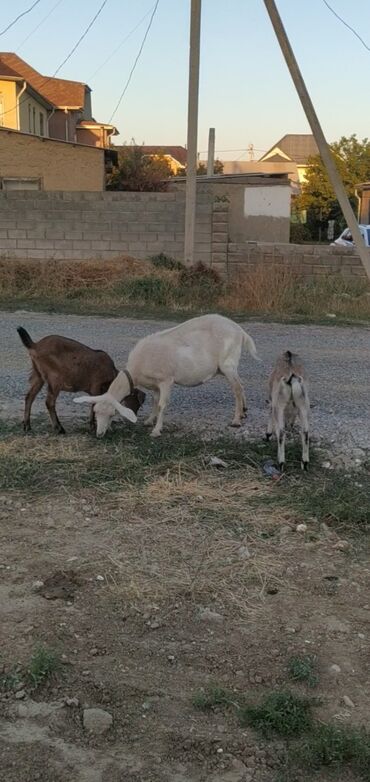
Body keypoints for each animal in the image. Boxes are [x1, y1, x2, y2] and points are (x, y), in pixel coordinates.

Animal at [17, 326, 145, 434]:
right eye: (137, 401)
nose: (134, 418)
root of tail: (35, 345)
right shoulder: (96, 386)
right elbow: (94, 405)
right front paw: (93, 427)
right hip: (55, 378)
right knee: (49, 402)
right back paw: (59, 428)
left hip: (38, 375)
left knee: (29, 397)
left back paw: (27, 426)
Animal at [73, 312, 258, 434]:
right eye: (96, 412)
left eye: (112, 414)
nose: (99, 434)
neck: (136, 369)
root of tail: (240, 331)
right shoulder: (154, 384)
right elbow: (155, 401)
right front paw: (149, 421)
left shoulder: (166, 380)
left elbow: (162, 404)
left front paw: (156, 430)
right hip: (229, 366)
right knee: (241, 385)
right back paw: (244, 411)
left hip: (228, 363)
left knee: (237, 389)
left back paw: (236, 420)